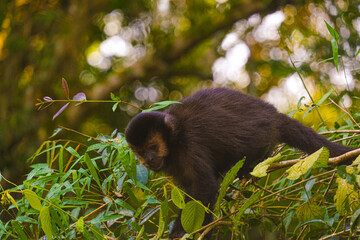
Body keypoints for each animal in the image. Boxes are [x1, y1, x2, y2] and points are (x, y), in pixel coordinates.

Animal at [124, 87, 354, 238]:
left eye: (153, 147)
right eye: (141, 152)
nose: (149, 160)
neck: (175, 139)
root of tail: (274, 115)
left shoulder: (190, 146)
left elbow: (204, 187)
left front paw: (181, 232)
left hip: (262, 135)